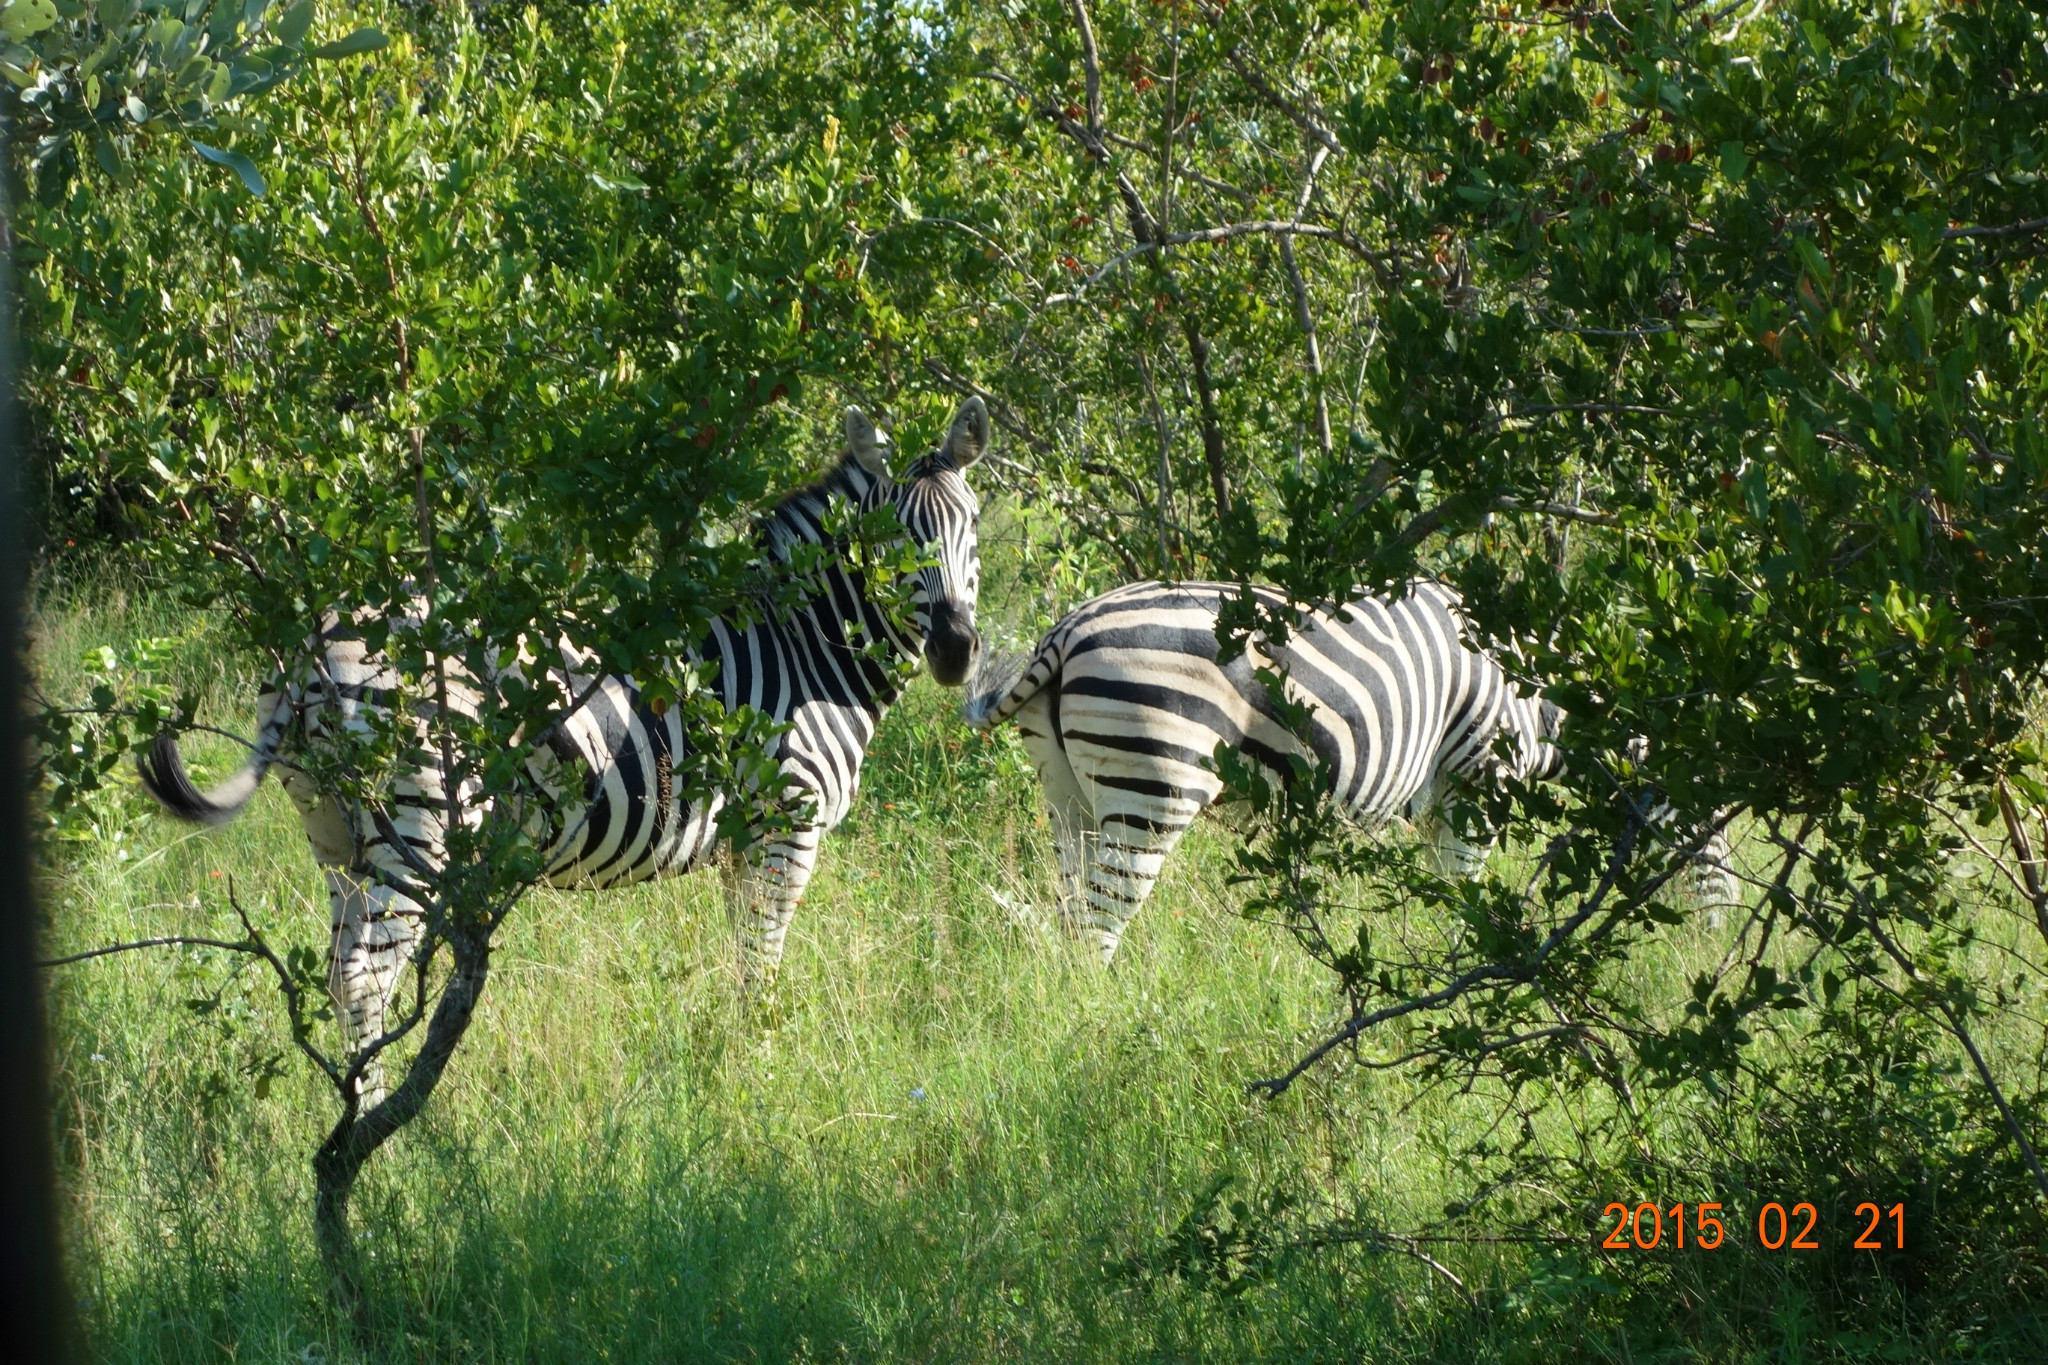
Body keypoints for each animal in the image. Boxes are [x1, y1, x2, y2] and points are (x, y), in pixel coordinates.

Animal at [140, 397, 987, 1088]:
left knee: (340, 973)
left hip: (334, 829)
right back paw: (389, 1151)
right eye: (894, 537)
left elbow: (741, 960)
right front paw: (764, 1075)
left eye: (971, 528)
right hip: (416, 822)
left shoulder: (743, 841)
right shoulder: (787, 824)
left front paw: (735, 1063)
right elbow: (763, 967)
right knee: (365, 978)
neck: (801, 648)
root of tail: (308, 638)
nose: (954, 650)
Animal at [958, 581, 1728, 965]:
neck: (1533, 698)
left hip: (1068, 795)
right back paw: (1114, 1033)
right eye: (1715, 824)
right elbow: (1467, 889)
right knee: (1100, 929)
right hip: (1153, 786)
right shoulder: (1474, 772)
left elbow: (1443, 895)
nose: (1712, 948)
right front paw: (1479, 969)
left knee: (1072, 920)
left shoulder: (1440, 799)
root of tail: (1064, 631)